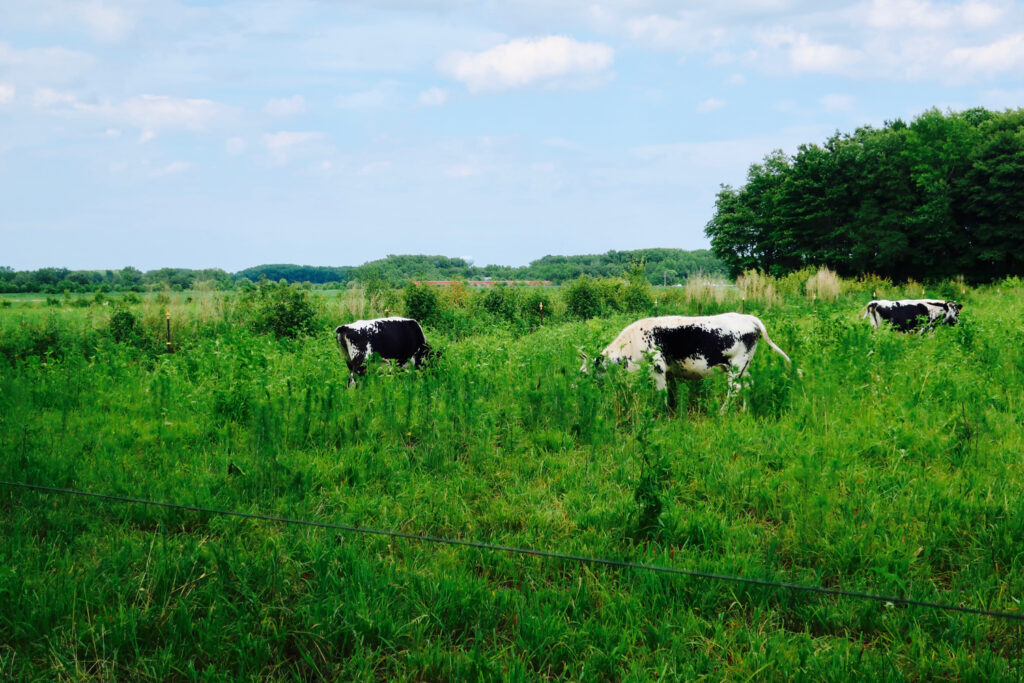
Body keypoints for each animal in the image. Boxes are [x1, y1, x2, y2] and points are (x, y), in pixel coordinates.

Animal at [585, 313, 790, 413]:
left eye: (586, 372)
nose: (581, 388)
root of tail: (749, 318)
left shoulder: (657, 367)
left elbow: (661, 392)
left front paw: (663, 413)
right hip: (745, 366)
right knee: (747, 385)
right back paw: (745, 410)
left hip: (737, 364)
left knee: (735, 389)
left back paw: (722, 412)